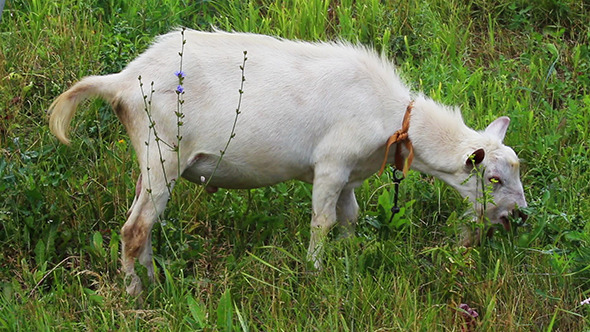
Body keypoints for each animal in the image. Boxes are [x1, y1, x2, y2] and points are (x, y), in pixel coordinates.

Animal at [47, 29, 528, 294]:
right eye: (494, 178)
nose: (521, 216)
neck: (394, 116)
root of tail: (125, 80)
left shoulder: (350, 175)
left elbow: (350, 217)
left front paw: (348, 259)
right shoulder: (331, 165)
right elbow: (322, 221)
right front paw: (314, 272)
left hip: (150, 159)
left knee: (142, 225)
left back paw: (151, 281)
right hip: (163, 151)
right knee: (134, 229)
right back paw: (136, 295)